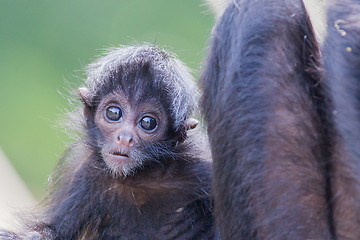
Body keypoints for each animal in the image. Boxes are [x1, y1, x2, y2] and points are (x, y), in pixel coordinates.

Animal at [0, 44, 214, 239]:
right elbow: (49, 232)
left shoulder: (198, 164)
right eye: (113, 113)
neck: (139, 177)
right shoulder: (85, 172)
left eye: (148, 122)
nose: (125, 138)